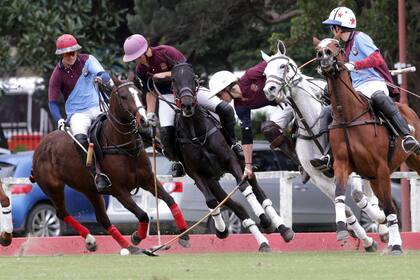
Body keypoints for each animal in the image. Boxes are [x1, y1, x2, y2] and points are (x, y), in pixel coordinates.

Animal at [32, 75, 189, 255]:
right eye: (123, 97)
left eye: (139, 93)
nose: (143, 121)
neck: (125, 146)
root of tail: (41, 145)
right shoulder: (118, 190)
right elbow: (143, 214)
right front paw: (136, 236)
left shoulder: (148, 179)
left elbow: (170, 200)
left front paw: (184, 235)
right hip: (53, 187)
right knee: (61, 212)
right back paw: (94, 240)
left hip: (89, 189)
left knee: (102, 218)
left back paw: (124, 246)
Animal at [169, 63, 294, 252]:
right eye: (174, 80)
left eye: (194, 79)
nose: (188, 105)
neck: (197, 133)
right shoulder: (197, 175)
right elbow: (211, 201)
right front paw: (222, 230)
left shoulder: (231, 161)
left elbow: (244, 187)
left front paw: (265, 220)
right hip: (213, 180)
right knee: (232, 204)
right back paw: (255, 239)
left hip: (243, 164)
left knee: (258, 191)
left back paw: (281, 227)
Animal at [260, 40, 388, 252]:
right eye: (264, 73)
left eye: (283, 66)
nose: (269, 90)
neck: (312, 128)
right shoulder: (318, 178)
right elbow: (343, 205)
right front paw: (365, 239)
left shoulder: (350, 166)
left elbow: (356, 195)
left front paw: (378, 220)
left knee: (370, 193)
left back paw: (383, 227)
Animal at [314, 37, 420, 256]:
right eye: (317, 49)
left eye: (336, 46)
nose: (324, 57)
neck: (347, 117)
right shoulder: (343, 165)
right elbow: (339, 195)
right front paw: (342, 231)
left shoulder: (381, 167)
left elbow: (389, 208)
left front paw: (396, 246)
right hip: (374, 178)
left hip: (412, 158)